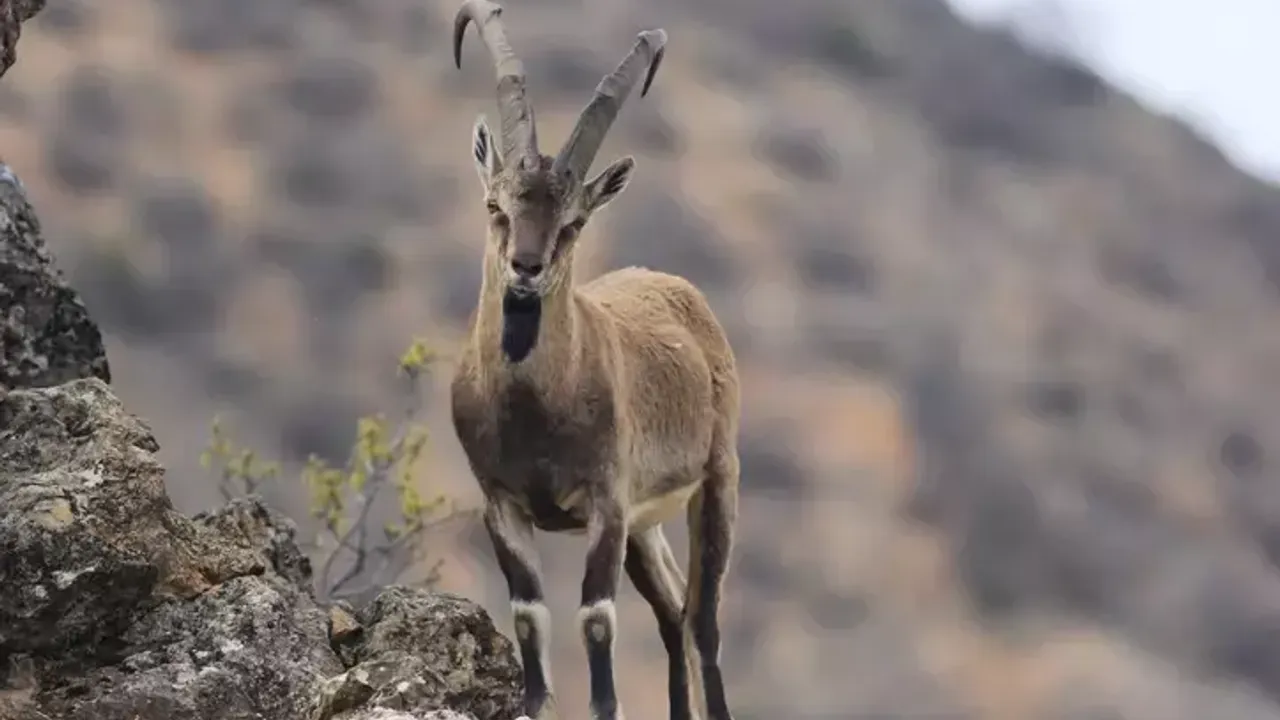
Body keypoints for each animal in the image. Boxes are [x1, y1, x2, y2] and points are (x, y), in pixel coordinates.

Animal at [448, 2, 742, 712]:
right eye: (495, 205)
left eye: (574, 222)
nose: (525, 269)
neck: (534, 410)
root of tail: (679, 289)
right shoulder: (502, 502)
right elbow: (530, 617)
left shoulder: (606, 502)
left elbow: (597, 622)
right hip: (646, 524)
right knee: (672, 612)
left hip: (716, 479)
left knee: (704, 620)